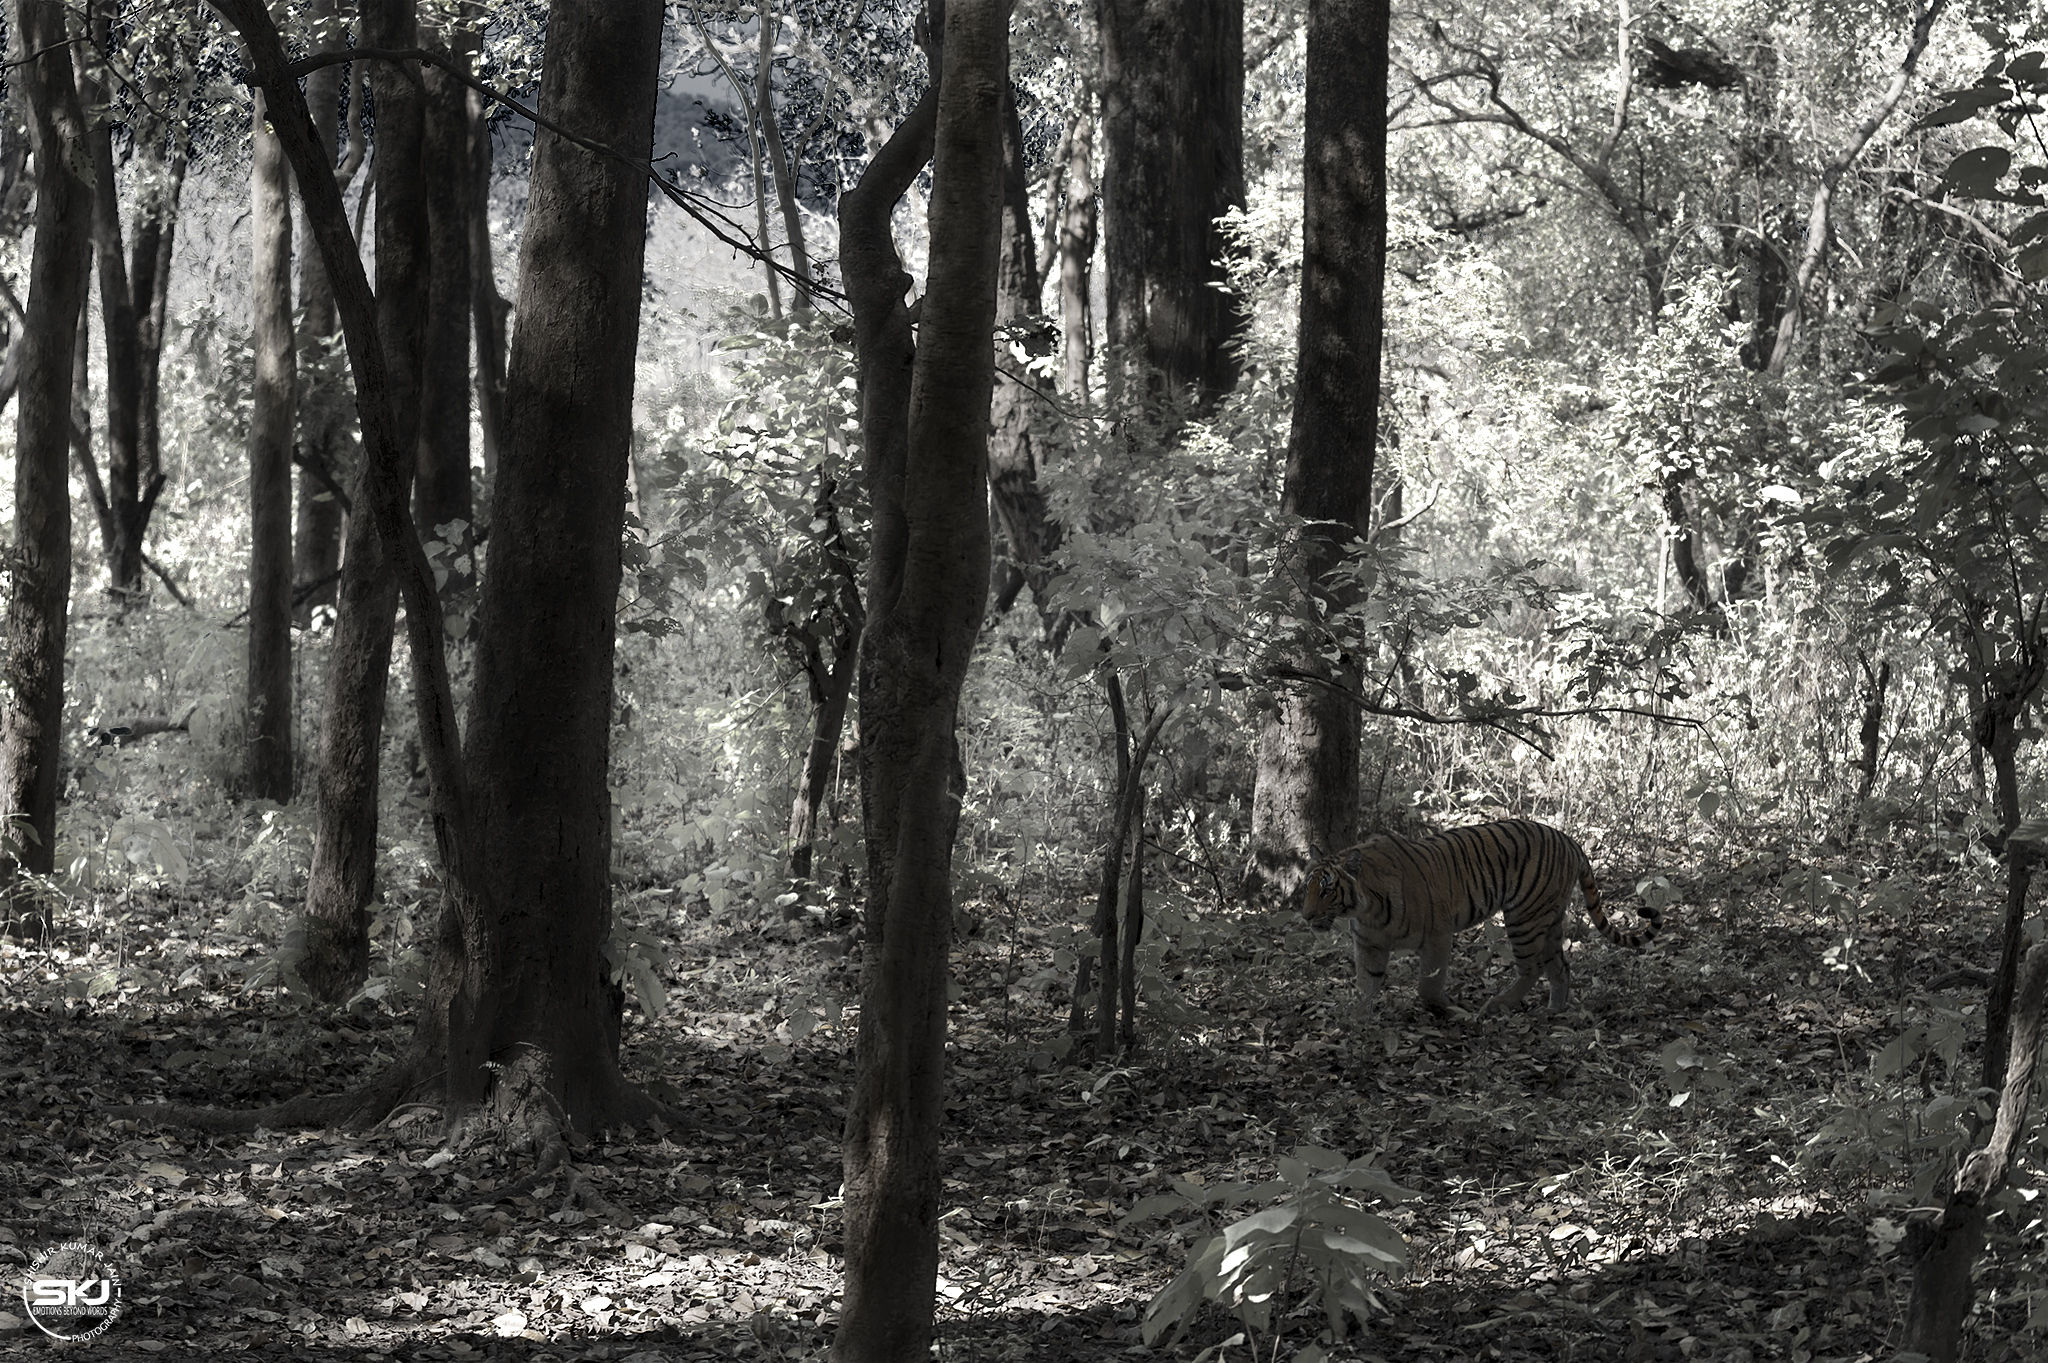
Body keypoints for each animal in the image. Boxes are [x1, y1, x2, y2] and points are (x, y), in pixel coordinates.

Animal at [1302, 810, 1654, 1015]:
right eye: (1307, 887)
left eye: (1327, 889)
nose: (1305, 917)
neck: (1365, 909)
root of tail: (1569, 840)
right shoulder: (1369, 944)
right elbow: (1365, 986)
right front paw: (1357, 1023)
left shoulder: (1438, 936)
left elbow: (1427, 985)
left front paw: (1451, 1010)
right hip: (1549, 918)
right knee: (1560, 967)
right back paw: (1552, 1012)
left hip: (1523, 917)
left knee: (1532, 968)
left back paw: (1496, 1006)